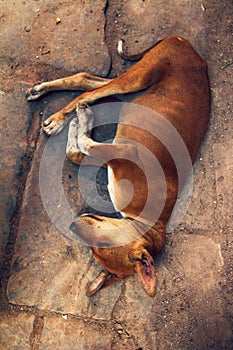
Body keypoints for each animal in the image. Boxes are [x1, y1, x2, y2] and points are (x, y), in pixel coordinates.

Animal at [26, 37, 210, 296]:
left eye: (97, 248)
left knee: (89, 82)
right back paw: (57, 116)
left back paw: (53, 101)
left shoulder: (113, 155)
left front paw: (79, 126)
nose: (73, 224)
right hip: (139, 77)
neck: (148, 221)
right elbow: (83, 144)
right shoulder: (123, 151)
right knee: (90, 90)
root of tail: (189, 48)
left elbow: (77, 150)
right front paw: (82, 122)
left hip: (133, 86)